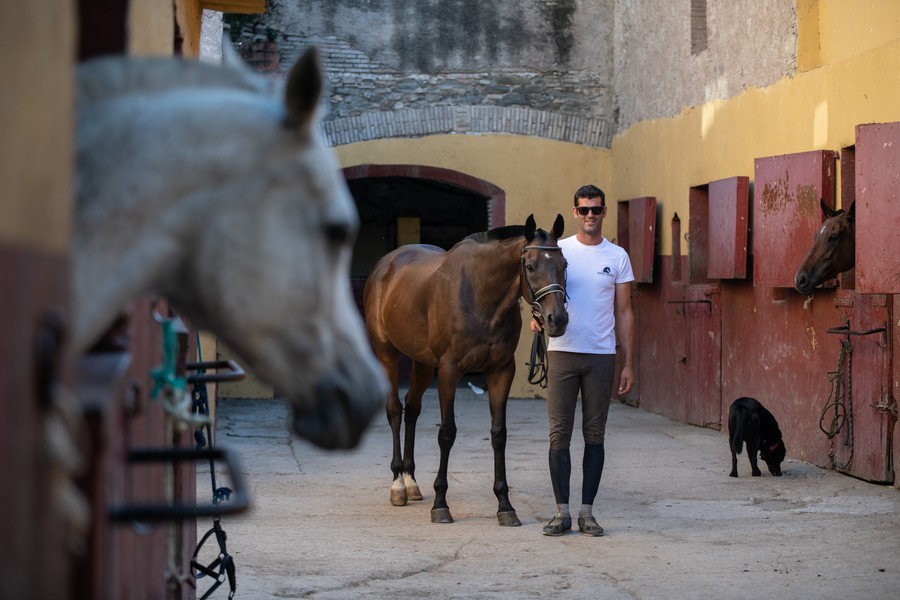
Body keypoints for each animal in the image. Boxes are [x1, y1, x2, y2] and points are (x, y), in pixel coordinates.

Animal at [362, 214, 568, 524]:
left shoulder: (501, 371)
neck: (482, 295)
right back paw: (398, 484)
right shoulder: (449, 370)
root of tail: (385, 265)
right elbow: (447, 433)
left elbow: (499, 435)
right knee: (395, 410)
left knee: (412, 408)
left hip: (423, 362)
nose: (558, 320)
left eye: (564, 264)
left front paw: (505, 505)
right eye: (530, 266)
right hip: (387, 353)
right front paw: (440, 504)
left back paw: (411, 482)